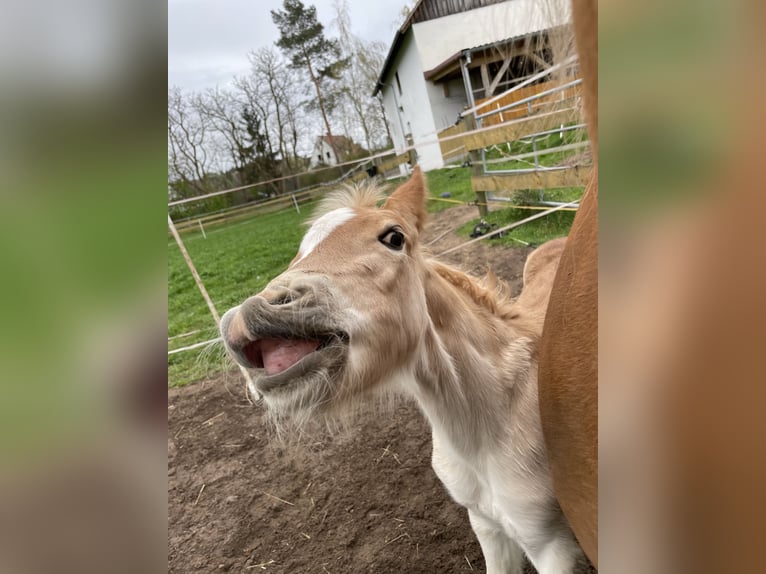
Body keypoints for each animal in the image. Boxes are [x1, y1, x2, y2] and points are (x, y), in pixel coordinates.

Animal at [220, 169, 584, 572]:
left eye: (394, 237)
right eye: (299, 251)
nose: (244, 320)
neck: (488, 428)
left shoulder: (551, 545)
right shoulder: (486, 525)